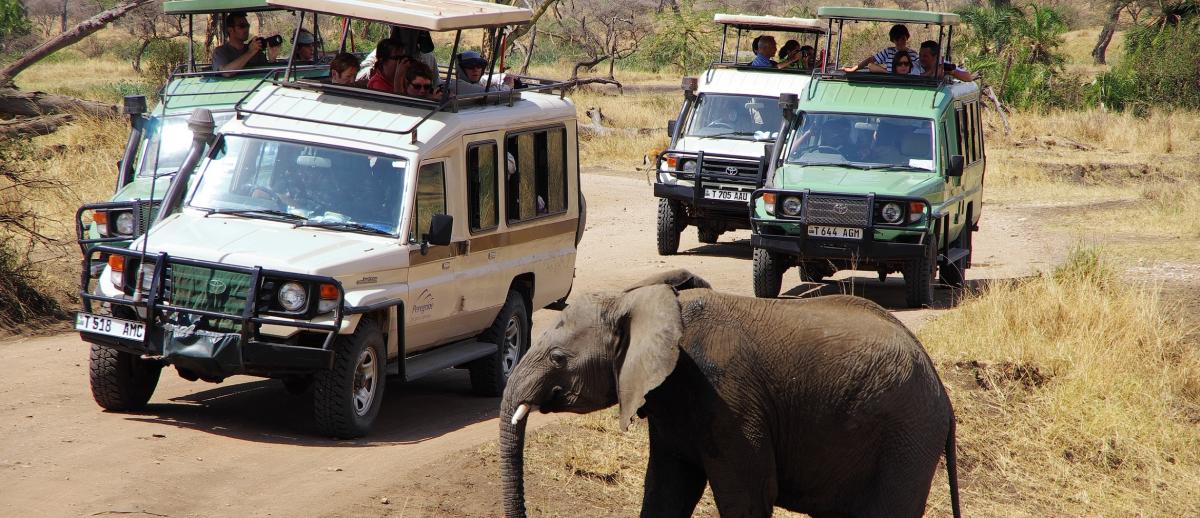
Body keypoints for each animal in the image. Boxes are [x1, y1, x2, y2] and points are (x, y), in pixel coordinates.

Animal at [501, 270, 960, 518]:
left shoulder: (729, 401)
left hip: (907, 437)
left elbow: (749, 498)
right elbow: (666, 490)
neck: (643, 300)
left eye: (558, 358)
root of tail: (944, 396)